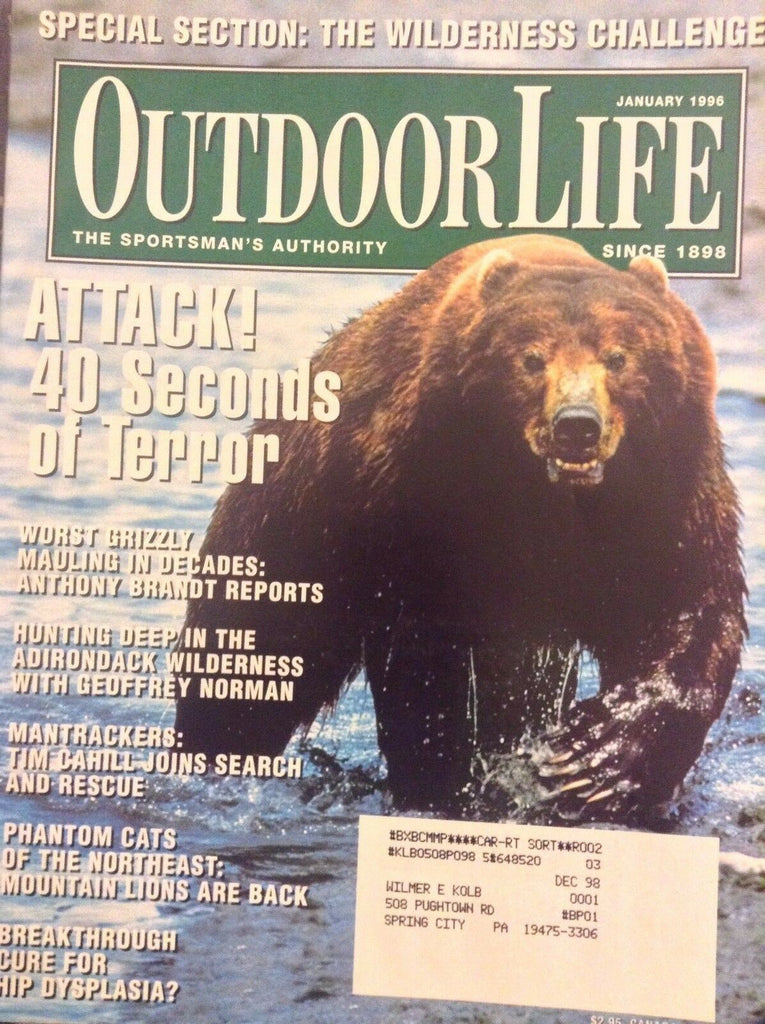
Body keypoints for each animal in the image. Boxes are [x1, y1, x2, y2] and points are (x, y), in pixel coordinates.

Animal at [175, 234, 746, 822]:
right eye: (531, 358)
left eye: (618, 357)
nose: (576, 426)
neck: (547, 500)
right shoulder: (417, 503)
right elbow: (426, 664)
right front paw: (450, 779)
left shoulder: (666, 491)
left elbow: (684, 607)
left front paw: (594, 761)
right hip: (290, 537)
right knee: (246, 671)